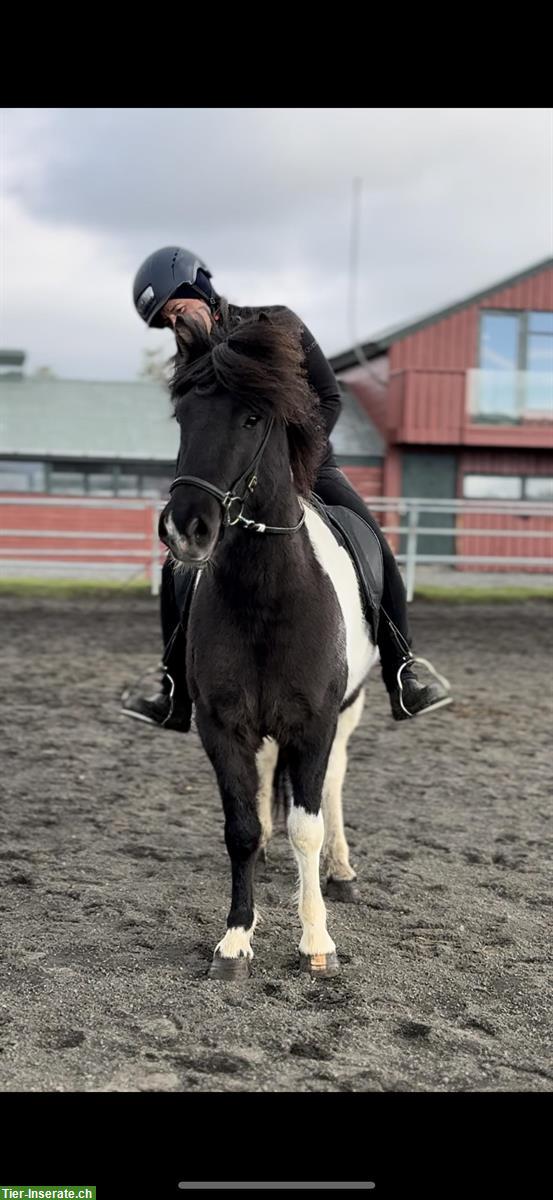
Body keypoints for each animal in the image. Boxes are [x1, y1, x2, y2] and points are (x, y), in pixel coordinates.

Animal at [157, 314, 376, 979]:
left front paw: (316, 941)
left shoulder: (315, 722)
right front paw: (235, 940)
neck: (267, 600)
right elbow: (241, 828)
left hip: (348, 714)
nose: (187, 528)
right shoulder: (222, 725)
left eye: (252, 418)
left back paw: (339, 871)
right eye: (183, 415)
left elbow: (307, 825)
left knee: (331, 786)